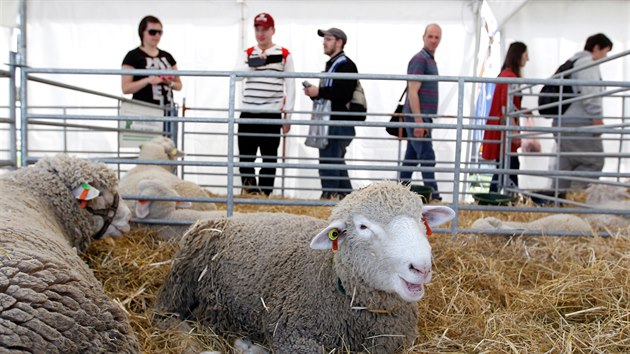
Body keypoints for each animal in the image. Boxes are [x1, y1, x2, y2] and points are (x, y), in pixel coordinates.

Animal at [155, 181, 456, 352]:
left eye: (421, 218)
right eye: (363, 227)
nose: (421, 267)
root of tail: (225, 218)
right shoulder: (293, 335)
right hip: (180, 285)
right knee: (164, 318)